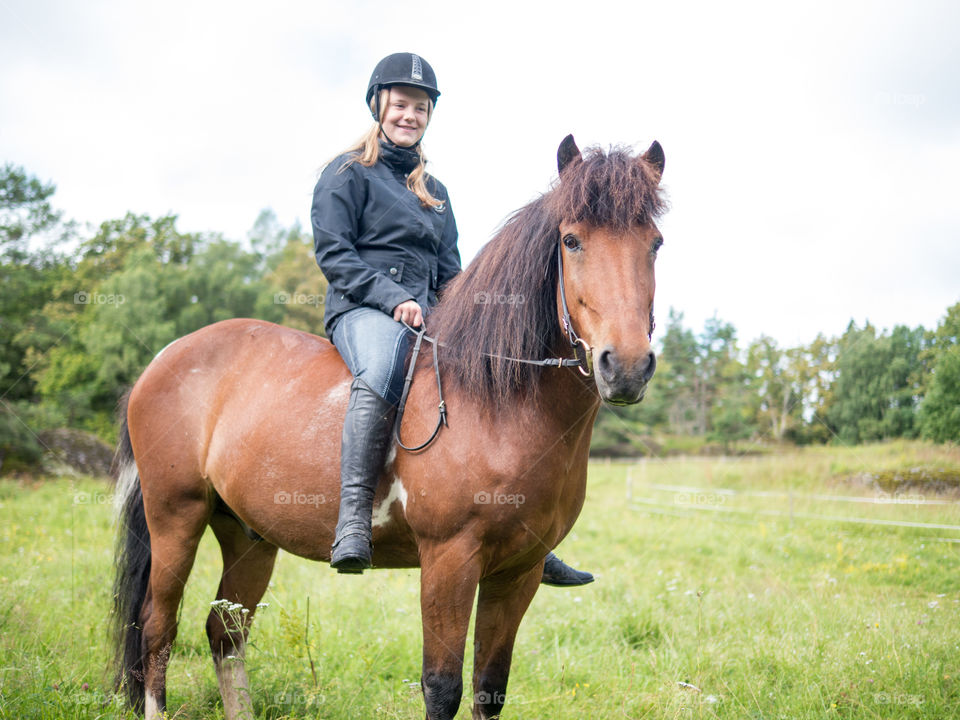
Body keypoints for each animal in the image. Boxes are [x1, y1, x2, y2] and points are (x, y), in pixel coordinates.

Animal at [110, 136, 668, 720]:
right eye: (571, 240)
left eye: (654, 243)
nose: (627, 366)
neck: (496, 402)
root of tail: (163, 357)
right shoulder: (449, 560)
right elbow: (441, 687)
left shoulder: (520, 570)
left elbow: (490, 687)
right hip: (175, 517)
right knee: (158, 627)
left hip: (248, 534)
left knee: (225, 632)